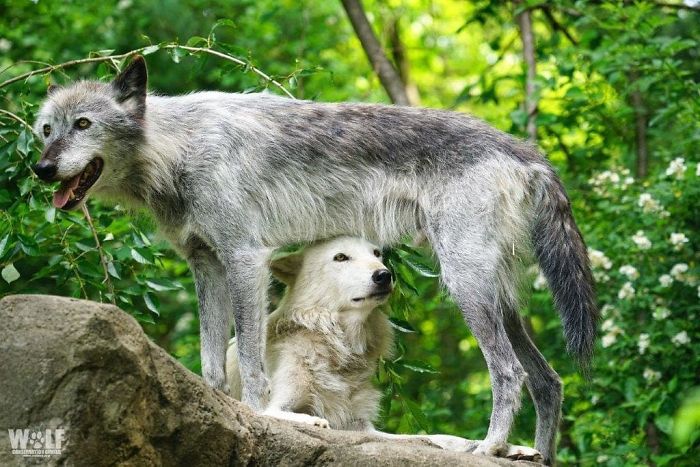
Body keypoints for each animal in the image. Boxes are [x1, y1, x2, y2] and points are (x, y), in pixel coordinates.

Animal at [33, 55, 597, 464]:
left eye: (83, 124)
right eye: (45, 130)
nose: (40, 169)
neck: (179, 149)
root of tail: (525, 150)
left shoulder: (245, 260)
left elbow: (253, 363)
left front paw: (265, 418)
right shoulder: (206, 264)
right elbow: (213, 363)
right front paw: (217, 413)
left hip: (466, 286)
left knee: (509, 373)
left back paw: (489, 448)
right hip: (496, 297)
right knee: (549, 381)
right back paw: (531, 453)